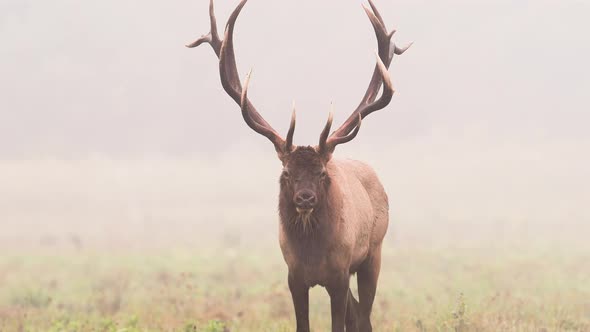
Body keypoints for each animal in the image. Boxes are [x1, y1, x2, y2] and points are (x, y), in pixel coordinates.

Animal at [188, 1, 412, 330]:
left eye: (321, 173)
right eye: (286, 173)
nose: (305, 198)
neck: (312, 255)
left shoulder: (339, 274)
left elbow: (339, 324)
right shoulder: (294, 276)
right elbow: (303, 324)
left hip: (373, 253)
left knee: (364, 316)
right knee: (358, 313)